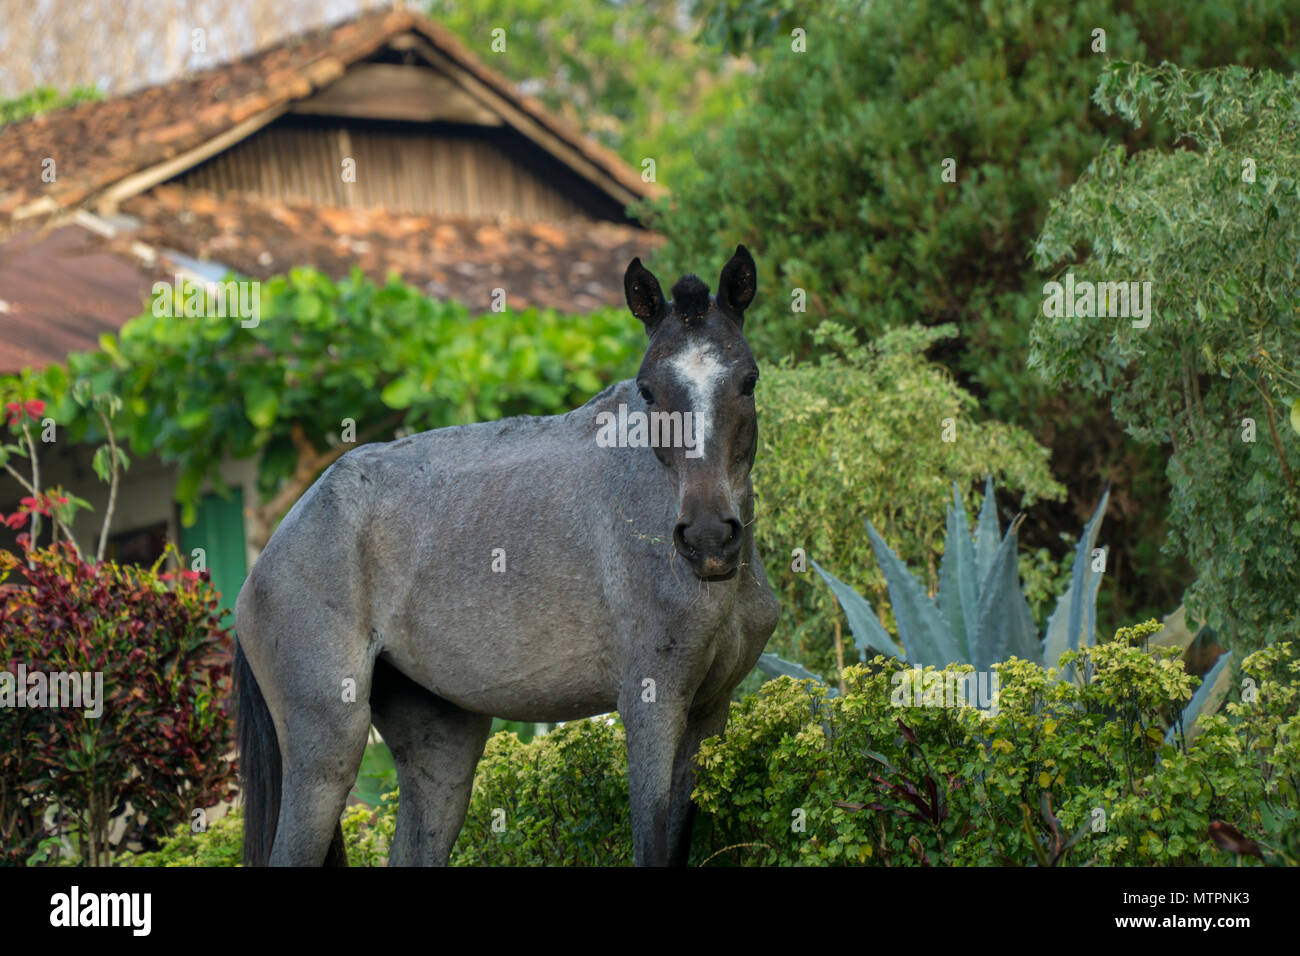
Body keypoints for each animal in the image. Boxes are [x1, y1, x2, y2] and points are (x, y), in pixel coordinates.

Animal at [231, 244, 780, 868]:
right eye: (647, 391)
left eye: (748, 381)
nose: (709, 538)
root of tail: (268, 558)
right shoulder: (652, 708)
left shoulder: (708, 714)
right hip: (326, 757)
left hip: (442, 751)